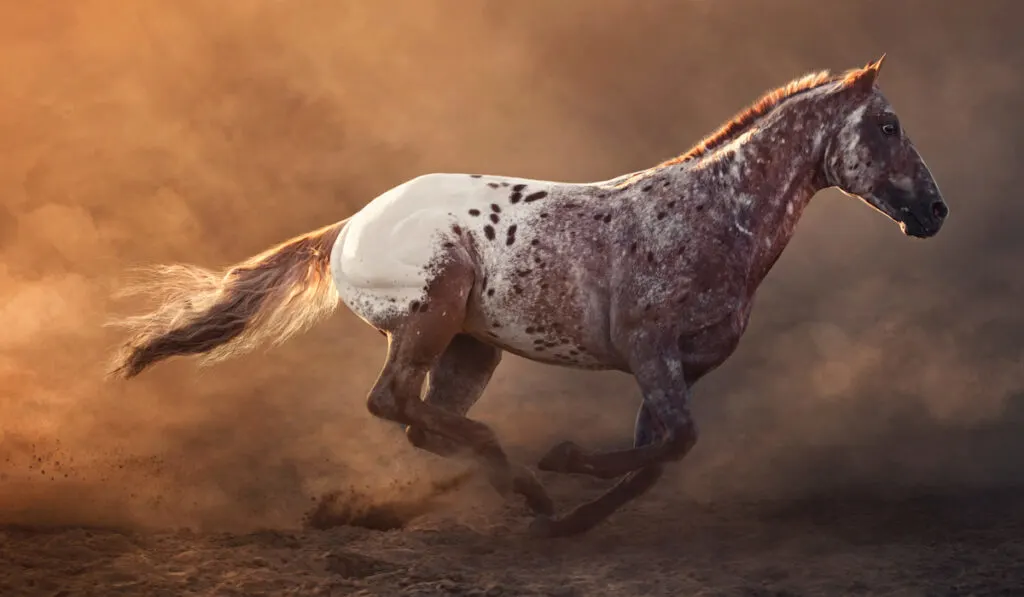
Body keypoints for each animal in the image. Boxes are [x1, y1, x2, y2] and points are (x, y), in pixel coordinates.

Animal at [108, 56, 946, 540]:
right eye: (889, 125)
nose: (935, 211)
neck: (713, 214)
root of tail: (348, 226)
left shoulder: (683, 367)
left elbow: (658, 453)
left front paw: (575, 517)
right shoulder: (650, 348)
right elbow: (673, 441)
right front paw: (564, 464)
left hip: (472, 347)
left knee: (420, 418)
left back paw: (498, 492)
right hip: (434, 312)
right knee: (393, 401)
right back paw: (521, 480)